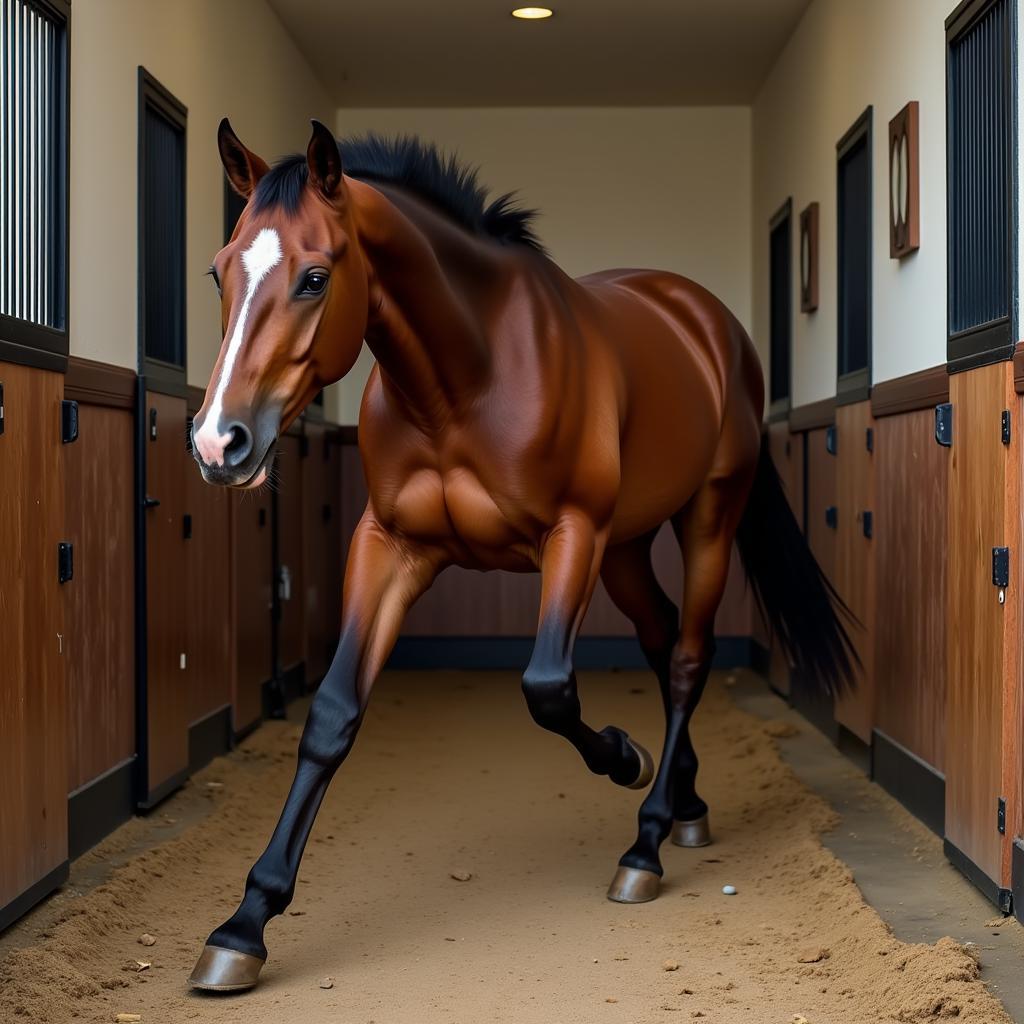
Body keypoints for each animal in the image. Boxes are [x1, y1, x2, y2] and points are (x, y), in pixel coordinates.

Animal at [186, 119, 856, 991]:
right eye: (219, 270)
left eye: (314, 277)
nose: (218, 442)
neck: (468, 378)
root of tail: (706, 318)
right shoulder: (390, 547)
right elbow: (332, 715)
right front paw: (245, 924)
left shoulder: (572, 535)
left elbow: (548, 689)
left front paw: (626, 757)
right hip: (627, 547)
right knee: (660, 635)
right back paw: (687, 807)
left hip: (705, 515)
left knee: (686, 657)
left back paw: (646, 839)